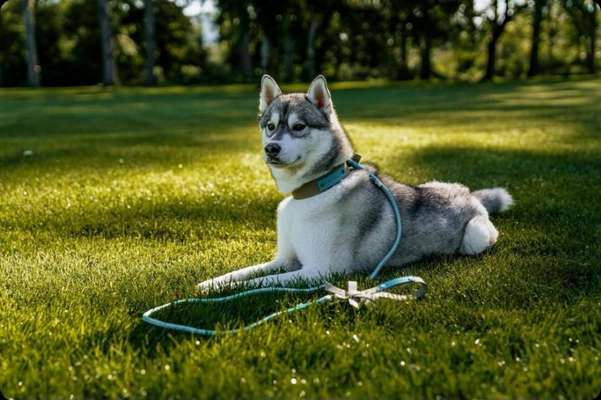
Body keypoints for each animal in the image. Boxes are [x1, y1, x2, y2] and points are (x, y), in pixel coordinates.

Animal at [197, 75, 510, 292]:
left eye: (299, 127)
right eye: (270, 126)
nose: (271, 148)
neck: (314, 190)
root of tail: (468, 193)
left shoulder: (319, 270)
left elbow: (262, 282)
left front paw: (218, 293)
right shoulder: (284, 260)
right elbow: (244, 272)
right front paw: (210, 283)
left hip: (474, 237)